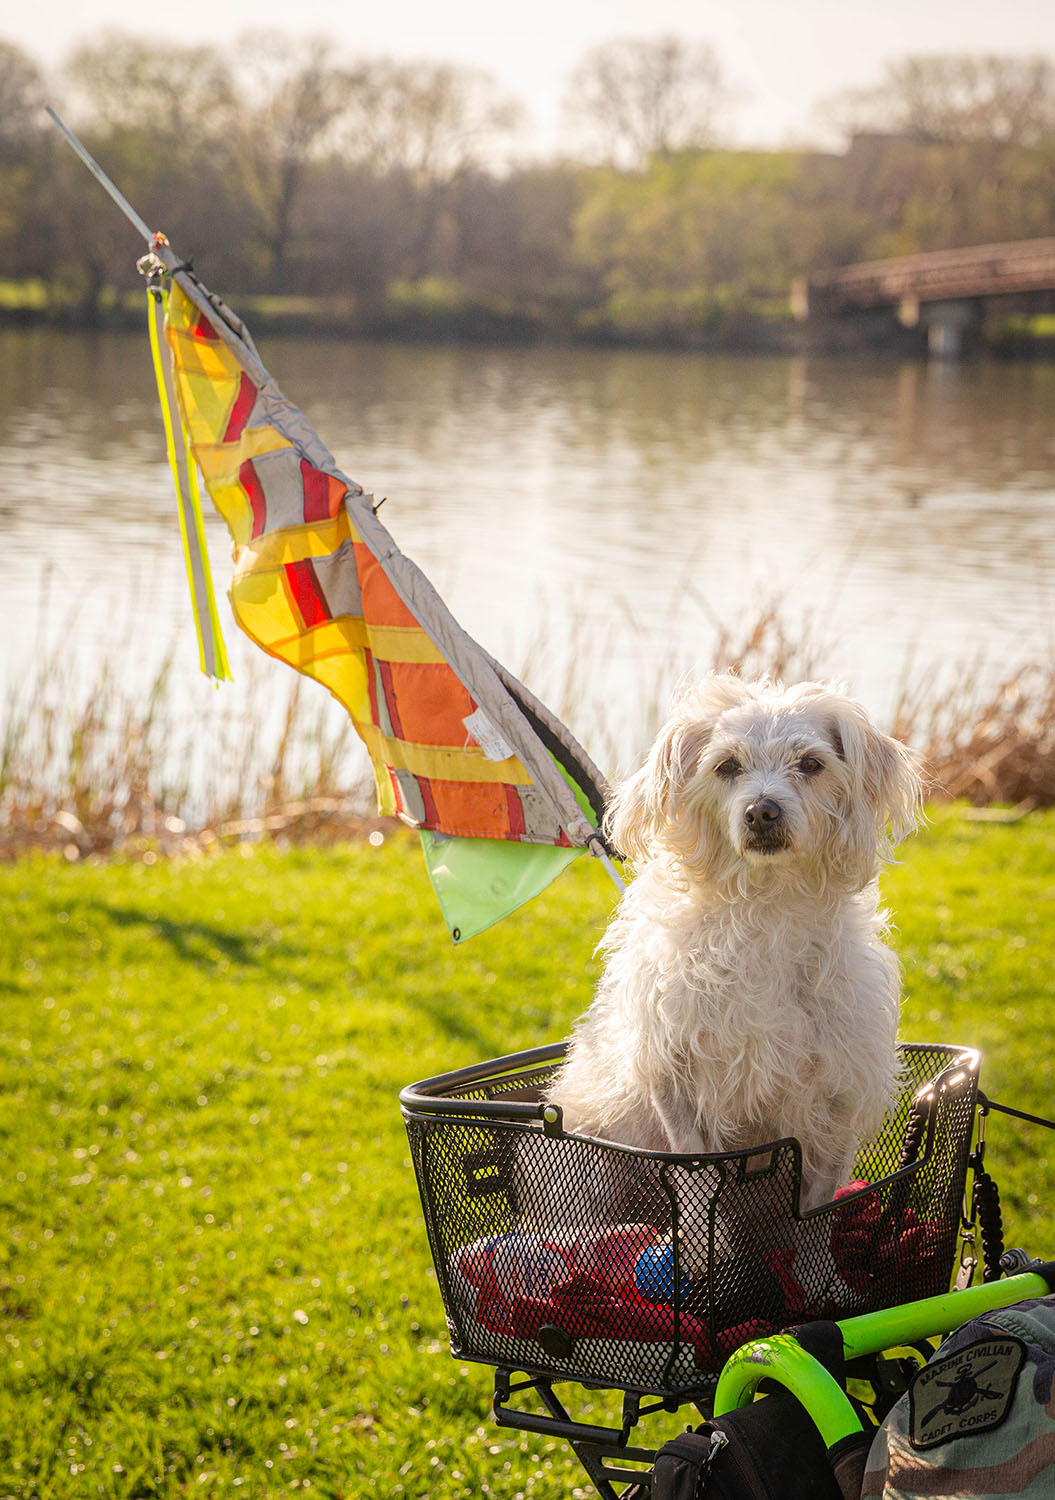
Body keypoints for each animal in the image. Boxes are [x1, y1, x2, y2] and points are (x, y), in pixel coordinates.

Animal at [549, 675, 918, 1212]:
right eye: (727, 765)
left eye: (812, 764)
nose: (762, 811)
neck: (766, 905)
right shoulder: (675, 1084)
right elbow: (697, 1191)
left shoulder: (837, 1102)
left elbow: (816, 1209)